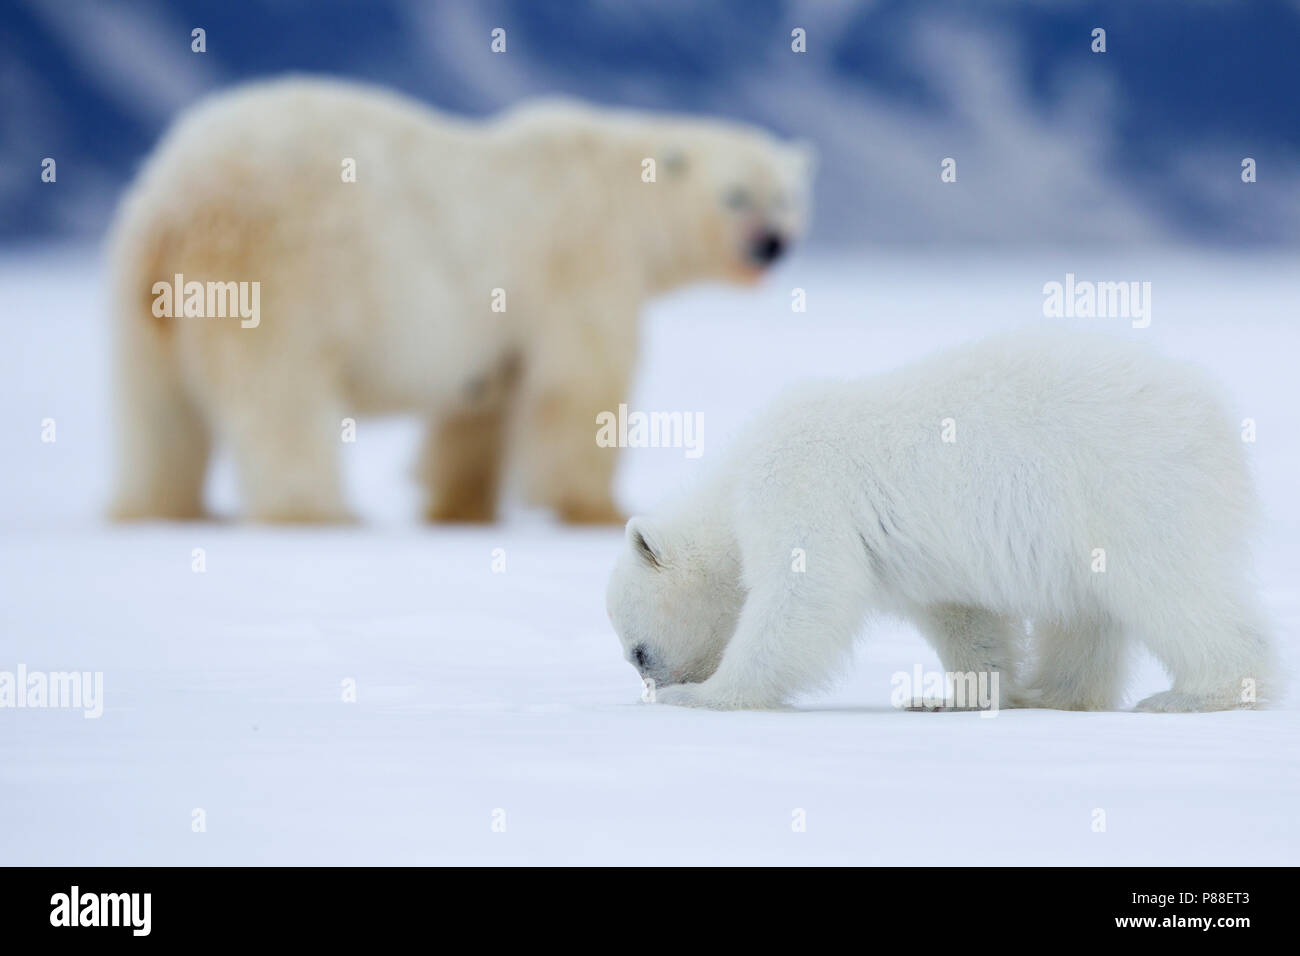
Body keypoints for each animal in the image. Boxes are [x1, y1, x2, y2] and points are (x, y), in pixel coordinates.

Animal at [106, 76, 811, 522]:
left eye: (784, 196)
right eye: (736, 196)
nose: (772, 243)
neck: (618, 186)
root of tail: (175, 201)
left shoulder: (502, 316)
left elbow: (481, 406)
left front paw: (460, 507)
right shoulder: (581, 257)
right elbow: (581, 385)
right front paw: (601, 510)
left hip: (147, 296)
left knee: (156, 410)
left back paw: (156, 508)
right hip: (276, 270)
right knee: (280, 394)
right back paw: (317, 512)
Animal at [605, 329, 1268, 712]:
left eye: (638, 651)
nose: (651, 686)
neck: (734, 484)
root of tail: (1215, 421)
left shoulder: (799, 485)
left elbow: (806, 592)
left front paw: (704, 696)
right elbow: (963, 617)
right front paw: (956, 696)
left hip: (1129, 487)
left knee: (1168, 587)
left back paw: (1201, 695)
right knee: (1085, 616)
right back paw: (1058, 696)